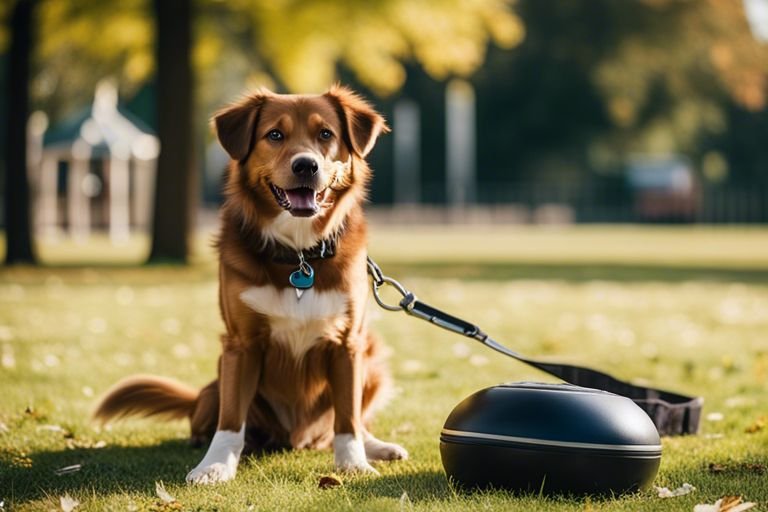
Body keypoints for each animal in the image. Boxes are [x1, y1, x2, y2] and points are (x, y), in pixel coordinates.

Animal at [94, 85, 408, 484]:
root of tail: (301, 439)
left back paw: (376, 446)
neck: (298, 255)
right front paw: (215, 465)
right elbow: (231, 419)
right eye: (275, 135)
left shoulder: (347, 344)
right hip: (216, 381)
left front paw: (352, 462)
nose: (306, 165)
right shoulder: (240, 345)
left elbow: (348, 417)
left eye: (326, 134)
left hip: (372, 358)